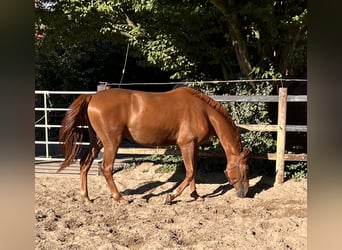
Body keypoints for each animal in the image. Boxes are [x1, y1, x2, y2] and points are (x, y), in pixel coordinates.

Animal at [58, 87, 250, 204]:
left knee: (84, 163)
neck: (202, 111)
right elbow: (189, 172)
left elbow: (194, 171)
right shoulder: (186, 145)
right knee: (106, 168)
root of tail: (92, 97)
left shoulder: (194, 146)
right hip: (111, 143)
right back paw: (120, 198)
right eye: (246, 169)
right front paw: (170, 196)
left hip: (97, 142)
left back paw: (86, 198)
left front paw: (196, 195)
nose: (244, 193)